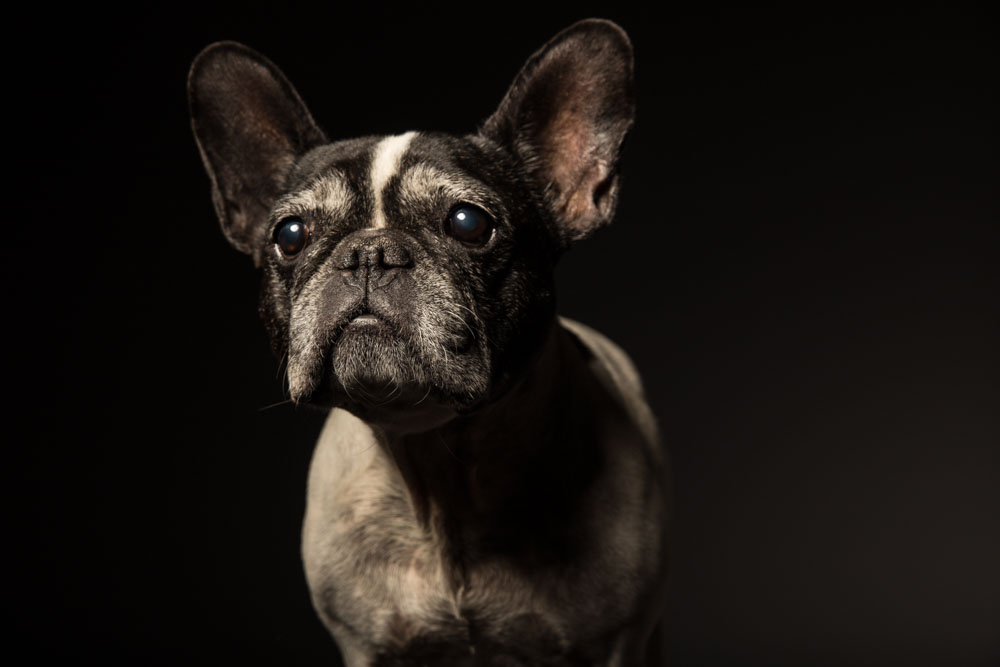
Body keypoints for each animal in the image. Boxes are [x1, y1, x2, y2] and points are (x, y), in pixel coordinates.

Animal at [189, 18, 672, 664]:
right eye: (290, 235)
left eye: (469, 223)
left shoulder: (613, 646)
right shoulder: (367, 648)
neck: (439, 471)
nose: (369, 252)